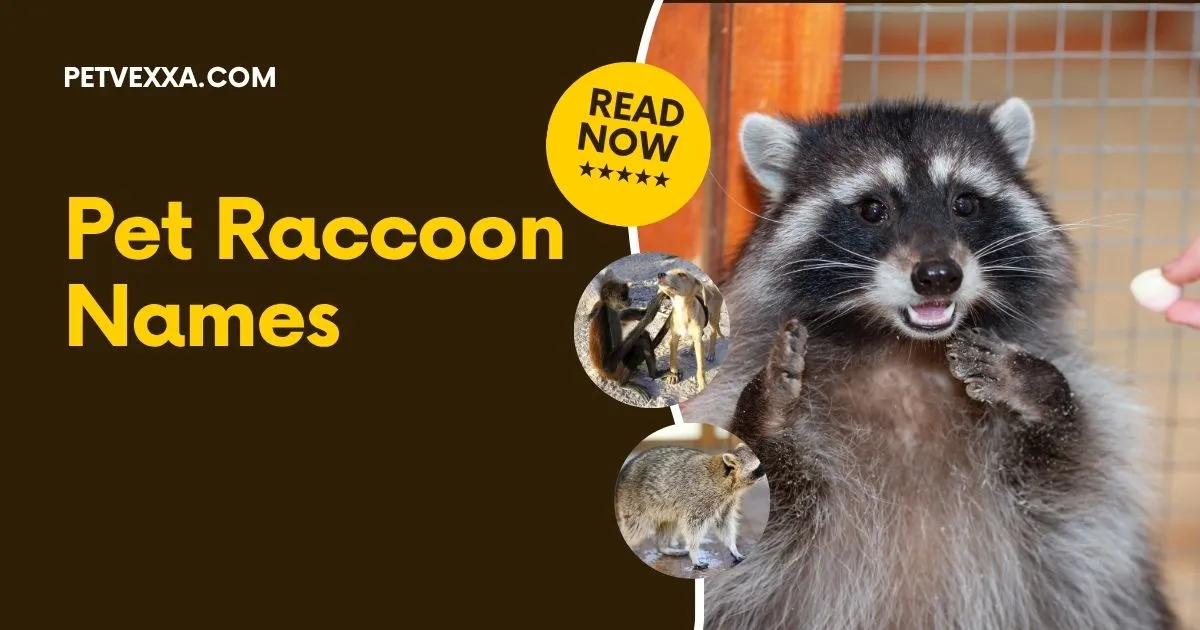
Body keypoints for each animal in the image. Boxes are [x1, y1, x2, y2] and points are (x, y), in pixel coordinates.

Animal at [615, 443, 765, 571]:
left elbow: (724, 524)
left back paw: (663, 547)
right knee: (636, 527)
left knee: (669, 524)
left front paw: (733, 547)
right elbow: (693, 527)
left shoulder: (727, 502)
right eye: (759, 466)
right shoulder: (701, 498)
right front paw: (694, 553)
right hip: (636, 503)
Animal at [683, 98, 1179, 629]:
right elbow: (757, 520)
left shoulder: (1077, 505)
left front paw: (1043, 394)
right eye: (872, 209)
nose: (939, 276)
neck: (908, 353)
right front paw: (767, 422)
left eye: (964, 203)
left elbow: (1075, 483)